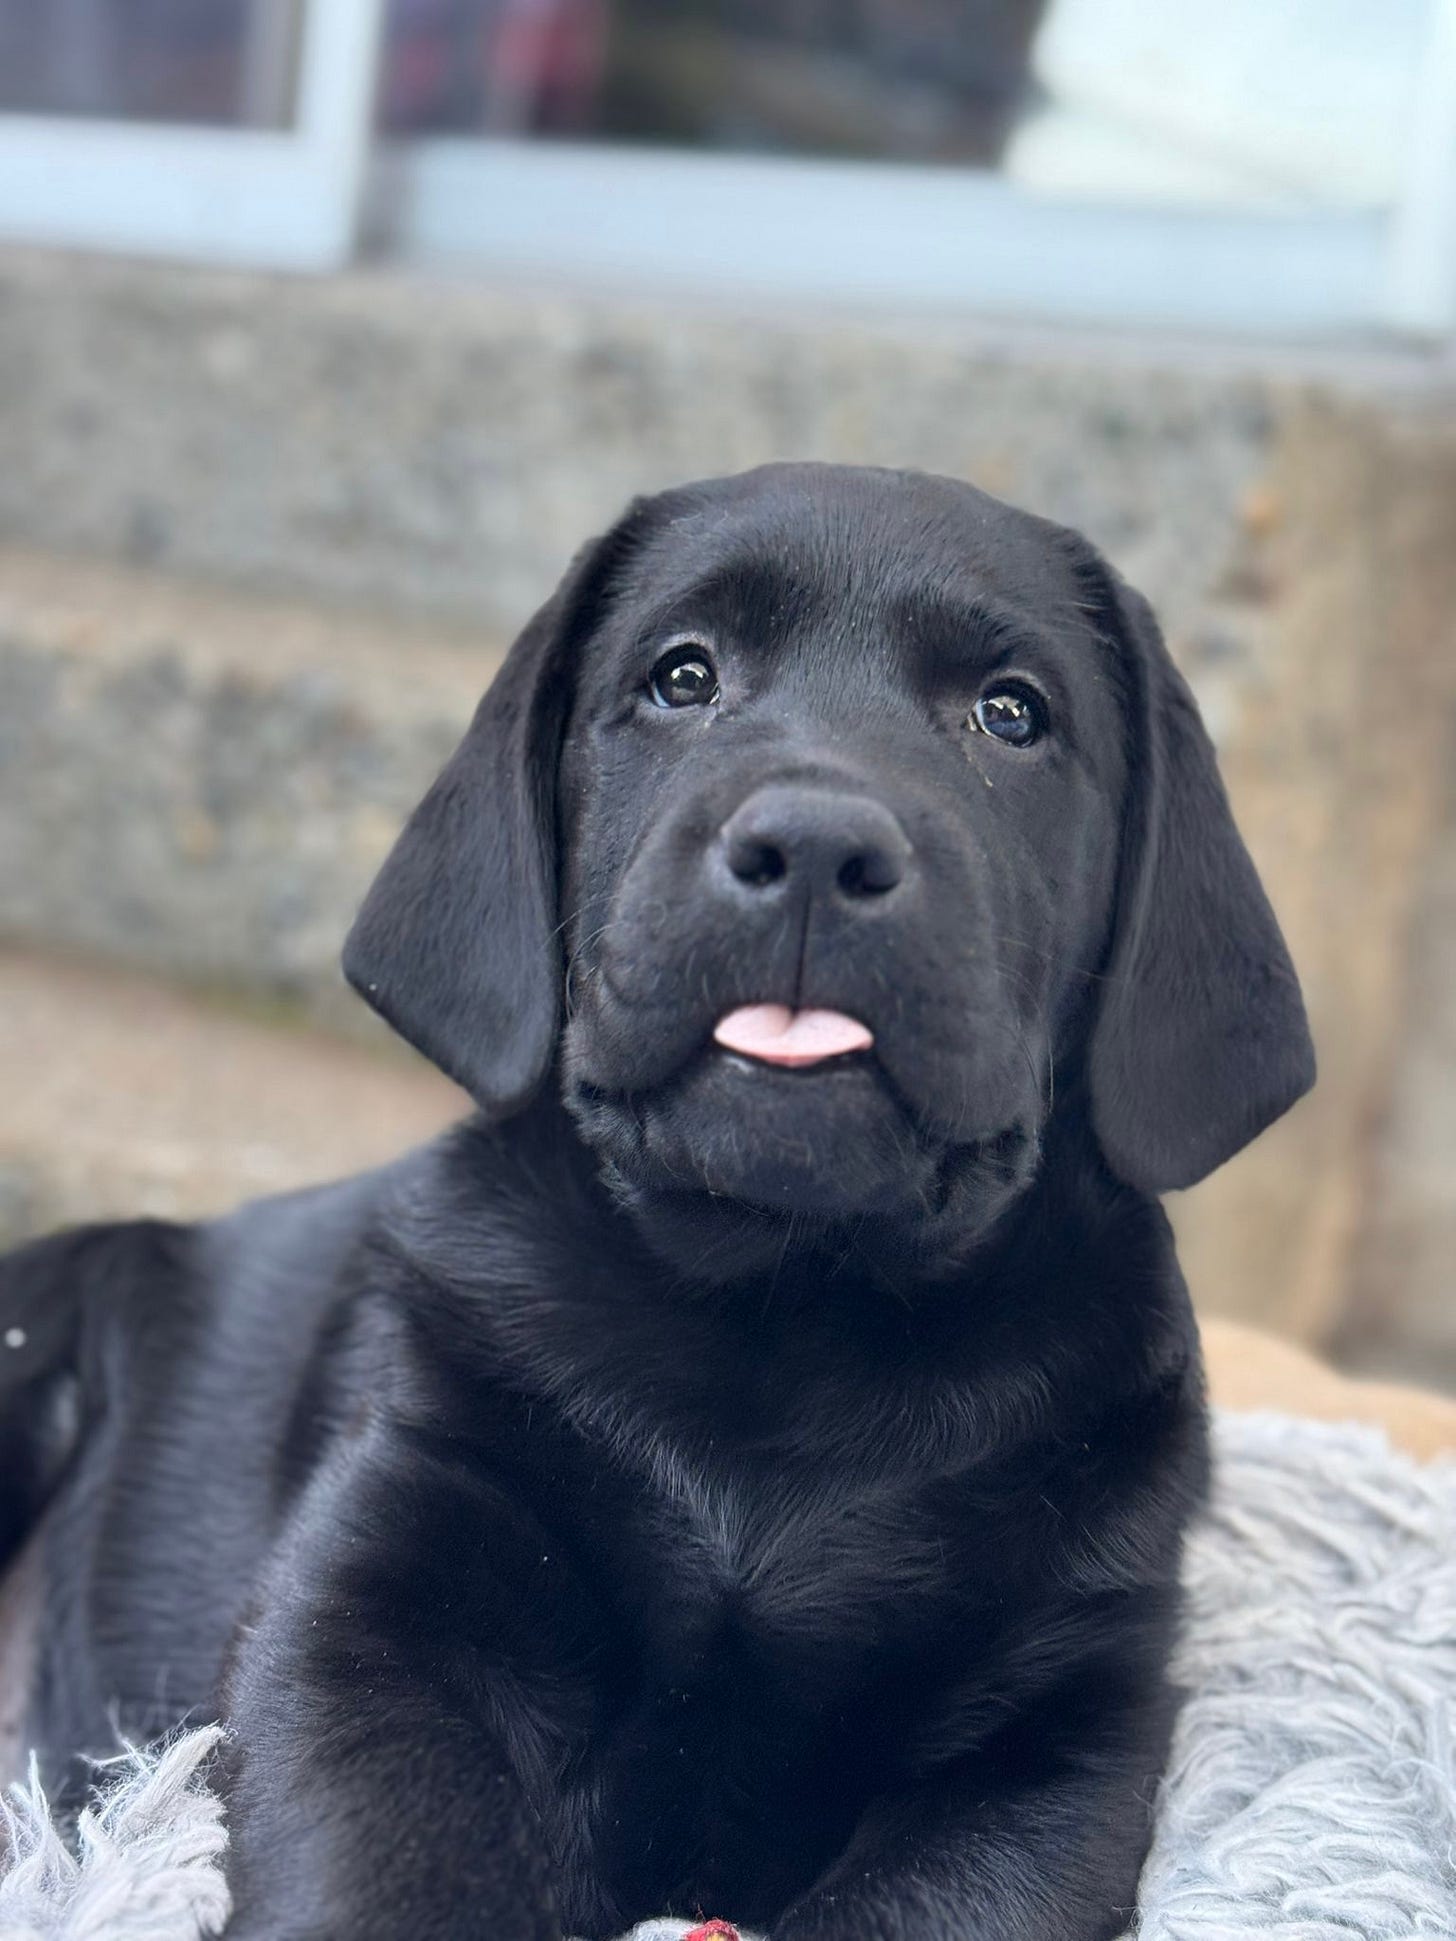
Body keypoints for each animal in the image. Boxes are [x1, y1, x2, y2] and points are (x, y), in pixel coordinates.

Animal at [0, 463, 1314, 1940]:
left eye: (1011, 713)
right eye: (683, 677)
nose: (815, 845)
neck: (785, 1314)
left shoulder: (1061, 1726)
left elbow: (935, 1899)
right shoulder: (379, 1581)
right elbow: (388, 1848)